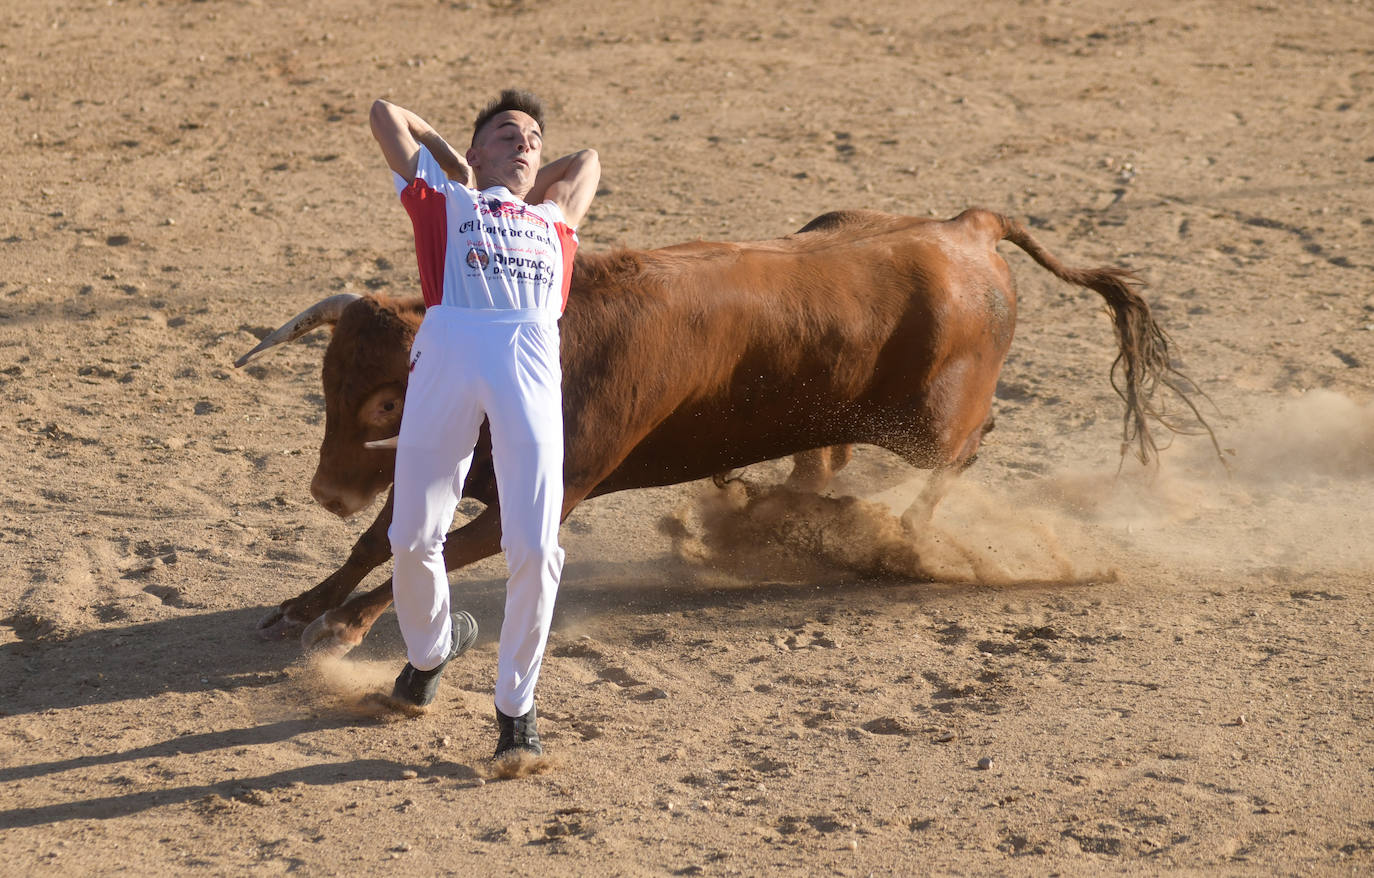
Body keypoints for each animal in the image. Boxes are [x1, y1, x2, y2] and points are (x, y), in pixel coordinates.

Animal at [239, 208, 1203, 656]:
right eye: (326, 383)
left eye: (384, 403)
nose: (324, 489)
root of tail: (965, 229)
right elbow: (378, 539)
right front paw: (303, 607)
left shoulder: (540, 498)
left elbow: (431, 547)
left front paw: (344, 628)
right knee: (834, 455)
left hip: (928, 426)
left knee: (963, 448)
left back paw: (895, 536)